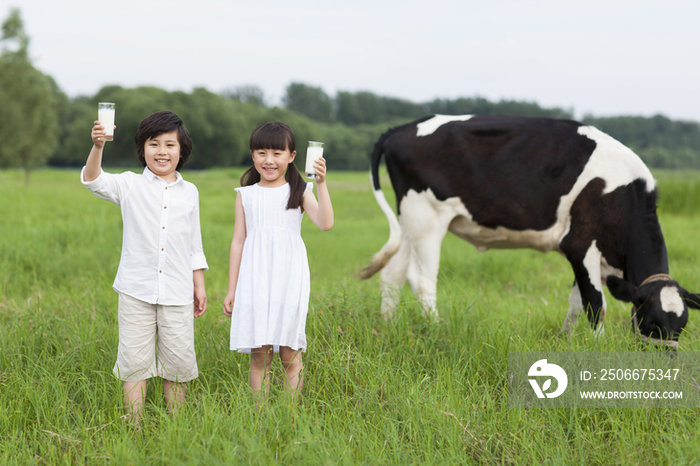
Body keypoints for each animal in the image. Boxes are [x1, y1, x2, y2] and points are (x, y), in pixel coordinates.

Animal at [360, 114, 700, 346]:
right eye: (652, 322)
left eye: (682, 325)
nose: (666, 360)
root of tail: (401, 128)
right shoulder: (579, 245)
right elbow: (595, 305)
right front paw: (598, 347)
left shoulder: (595, 258)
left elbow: (576, 303)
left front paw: (565, 340)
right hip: (426, 218)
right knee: (421, 280)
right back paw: (437, 330)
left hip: (409, 222)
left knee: (392, 273)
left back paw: (386, 327)